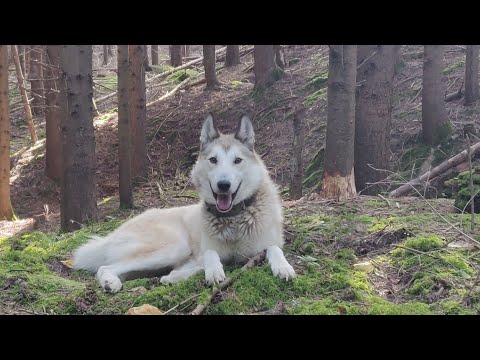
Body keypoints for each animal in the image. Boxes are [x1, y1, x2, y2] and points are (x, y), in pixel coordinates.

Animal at [72, 112, 294, 292]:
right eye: (213, 160)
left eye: (237, 160)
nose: (223, 185)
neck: (233, 219)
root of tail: (113, 234)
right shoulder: (206, 251)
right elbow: (211, 255)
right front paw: (213, 271)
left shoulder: (266, 245)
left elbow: (274, 249)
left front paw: (283, 267)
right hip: (174, 247)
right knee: (105, 267)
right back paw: (111, 282)